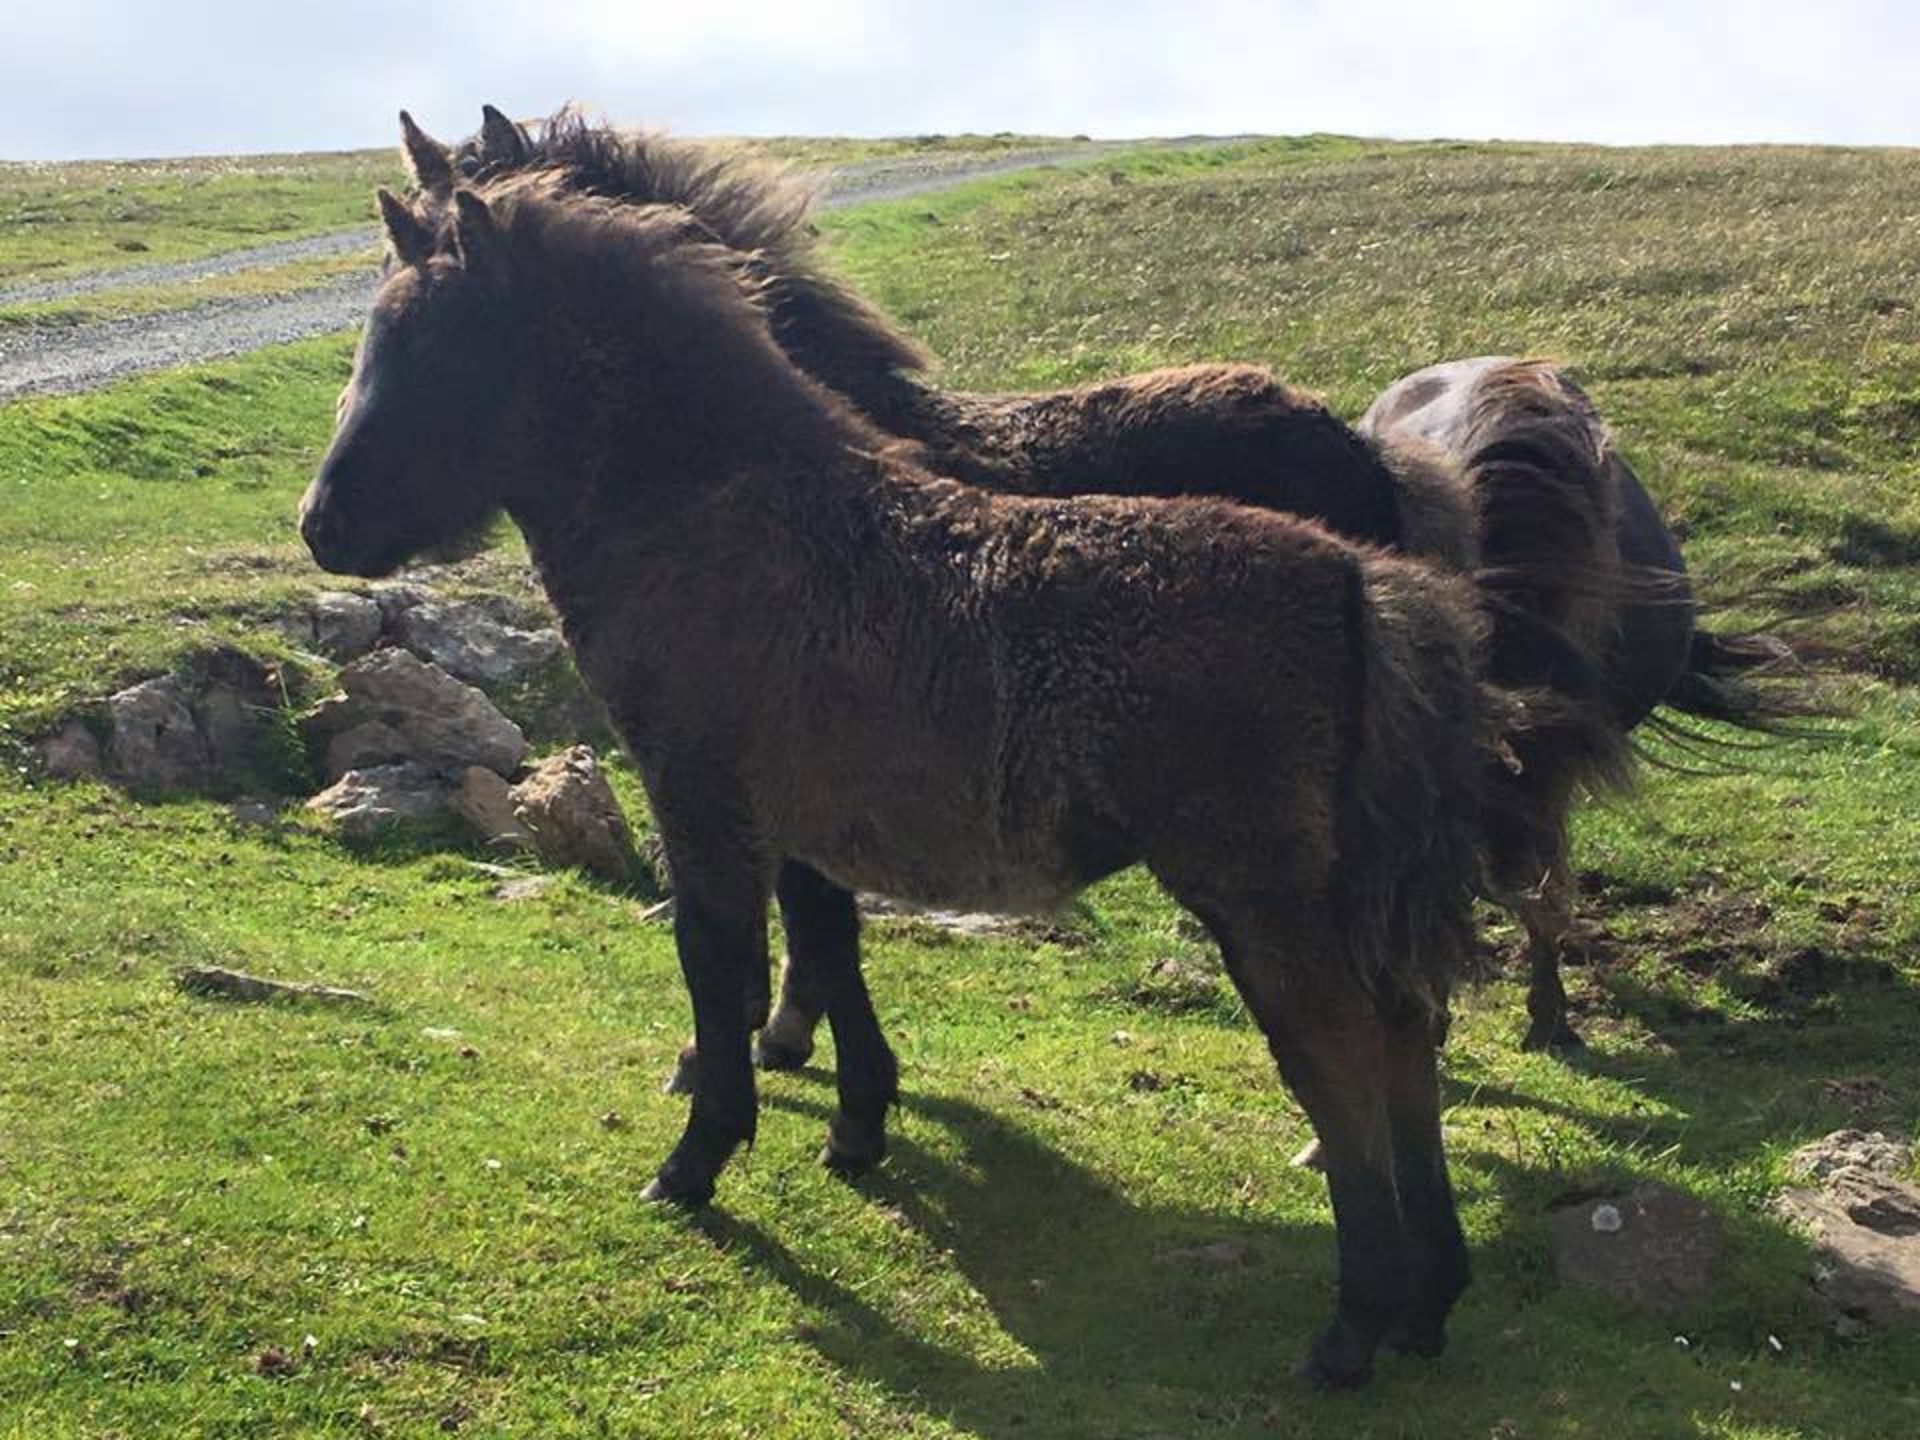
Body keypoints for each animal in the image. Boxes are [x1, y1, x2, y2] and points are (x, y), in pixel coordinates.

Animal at [295, 155, 1559, 1390]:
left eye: (430, 349)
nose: (322, 525)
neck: (721, 517)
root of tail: (1357, 583)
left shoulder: (702, 797)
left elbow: (719, 966)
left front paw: (698, 1158)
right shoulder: (805, 819)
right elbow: (825, 949)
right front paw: (851, 1125)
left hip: (1261, 894)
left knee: (1340, 1051)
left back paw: (1358, 1322)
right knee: (1402, 1030)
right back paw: (1431, 1299)